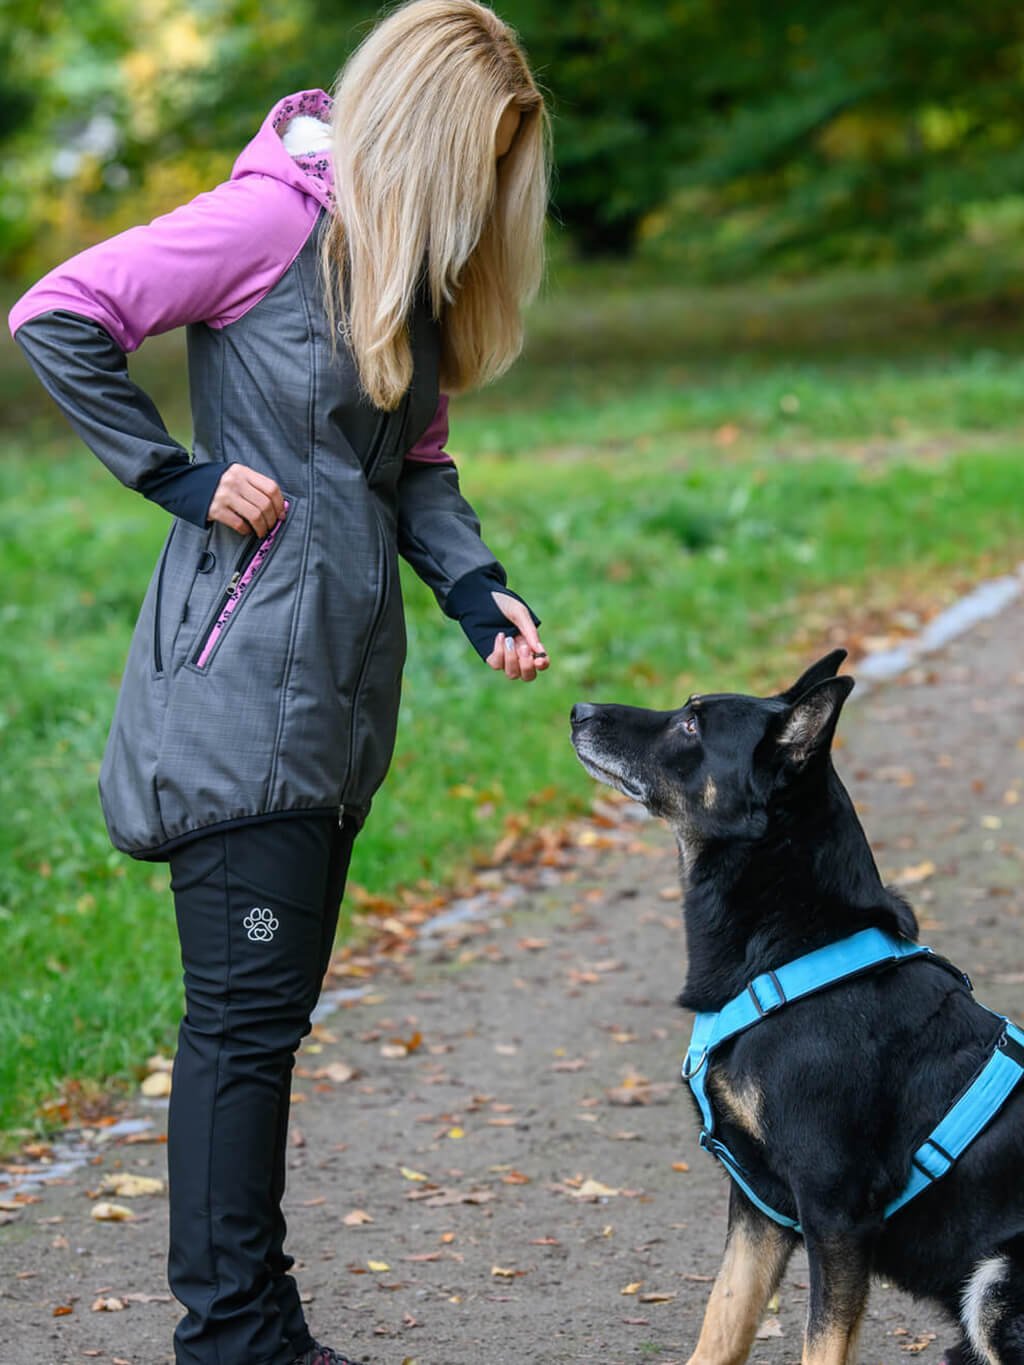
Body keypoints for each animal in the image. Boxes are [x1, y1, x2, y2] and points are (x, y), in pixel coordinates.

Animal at [570, 652, 1024, 1365]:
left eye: (692, 724)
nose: (576, 710)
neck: (786, 947)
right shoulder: (757, 1205)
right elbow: (722, 1323)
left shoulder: (835, 1212)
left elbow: (821, 1343)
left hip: (997, 1281)